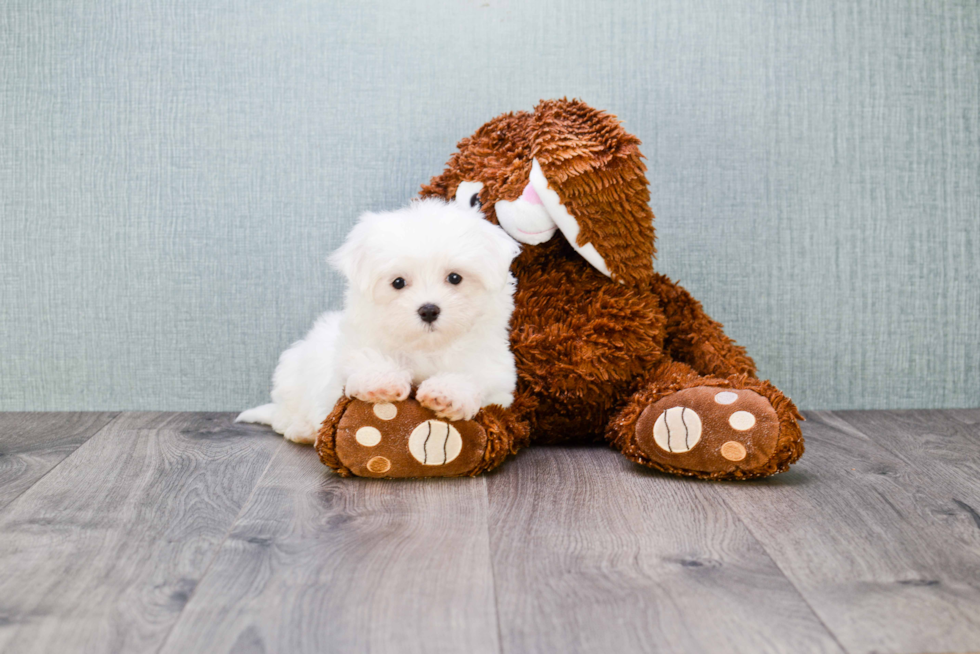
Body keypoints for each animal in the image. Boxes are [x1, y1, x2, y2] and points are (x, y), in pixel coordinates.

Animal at [236, 199, 520, 446]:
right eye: (398, 282)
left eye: (455, 278)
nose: (429, 310)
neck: (425, 347)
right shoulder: (351, 352)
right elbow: (365, 358)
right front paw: (382, 382)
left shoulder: (497, 375)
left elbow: (474, 376)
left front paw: (446, 392)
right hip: (292, 375)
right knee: (285, 414)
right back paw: (301, 429)